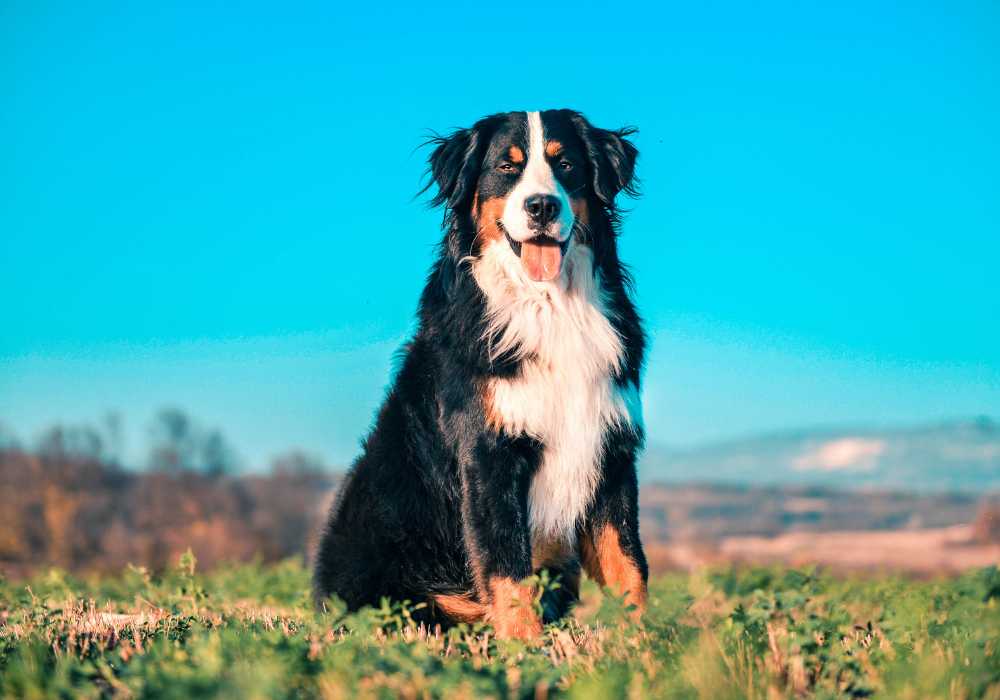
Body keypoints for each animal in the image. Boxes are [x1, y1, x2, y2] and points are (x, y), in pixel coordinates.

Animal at [316, 109, 652, 640]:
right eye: (506, 167)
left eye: (566, 164)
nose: (541, 206)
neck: (550, 307)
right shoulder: (488, 454)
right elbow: (507, 567)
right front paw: (525, 650)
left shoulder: (612, 451)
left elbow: (628, 565)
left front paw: (643, 645)